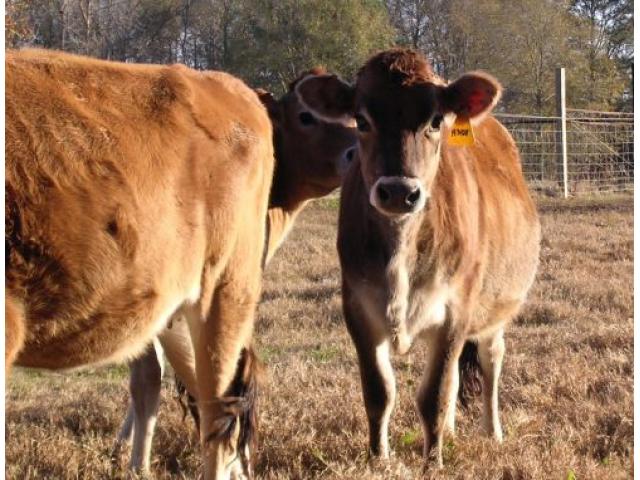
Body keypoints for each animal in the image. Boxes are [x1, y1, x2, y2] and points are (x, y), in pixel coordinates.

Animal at [295, 48, 541, 468]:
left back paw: (491, 432)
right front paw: (379, 460)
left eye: (435, 120)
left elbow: (434, 395)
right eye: (362, 120)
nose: (398, 191)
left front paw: (433, 462)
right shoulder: (357, 307)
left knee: (491, 361)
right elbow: (379, 392)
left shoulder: (456, 311)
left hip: (495, 307)